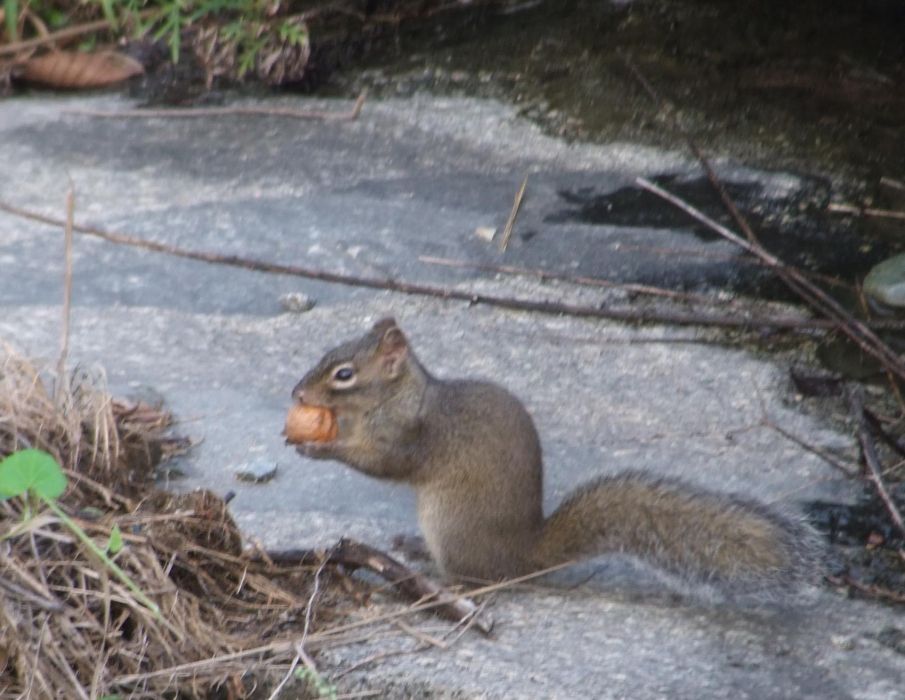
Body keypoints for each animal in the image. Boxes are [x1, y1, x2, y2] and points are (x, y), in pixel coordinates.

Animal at [294, 320, 824, 600]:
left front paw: (319, 447)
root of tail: (525, 558)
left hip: (450, 524)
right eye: (329, 353)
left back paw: (438, 578)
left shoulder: (407, 438)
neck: (400, 397)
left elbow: (383, 464)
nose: (297, 393)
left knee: (478, 579)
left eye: (344, 374)